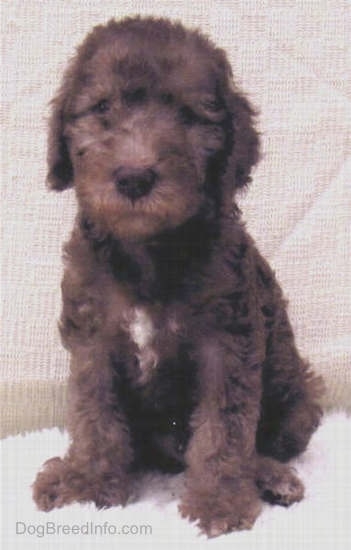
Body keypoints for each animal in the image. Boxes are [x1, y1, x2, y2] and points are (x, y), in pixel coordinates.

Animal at [33, 17, 324, 540]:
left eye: (189, 116)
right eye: (102, 109)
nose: (133, 177)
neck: (150, 247)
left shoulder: (226, 342)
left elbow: (223, 431)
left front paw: (218, 501)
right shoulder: (92, 338)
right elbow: (94, 416)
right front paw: (88, 483)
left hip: (297, 400)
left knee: (264, 441)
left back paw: (272, 476)